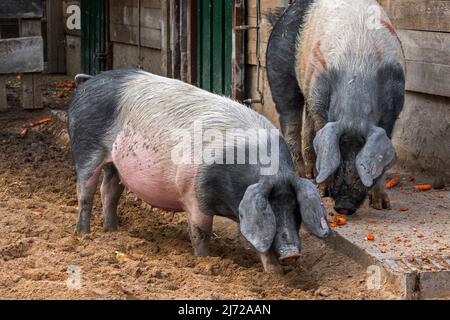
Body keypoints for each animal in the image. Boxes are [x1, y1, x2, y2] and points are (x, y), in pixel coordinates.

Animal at [67, 69, 330, 272]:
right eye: (271, 208)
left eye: (295, 209)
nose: (293, 253)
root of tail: (87, 81)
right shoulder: (193, 194)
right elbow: (201, 232)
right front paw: (205, 263)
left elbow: (260, 241)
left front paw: (275, 275)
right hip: (86, 149)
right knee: (85, 193)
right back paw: (84, 234)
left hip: (115, 165)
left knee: (109, 191)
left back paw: (112, 231)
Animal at [266, 0, 406, 215]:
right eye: (338, 157)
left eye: (364, 164)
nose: (344, 207)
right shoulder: (319, 90)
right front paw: (322, 191)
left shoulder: (393, 111)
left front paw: (382, 206)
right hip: (280, 73)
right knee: (291, 123)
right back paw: (302, 176)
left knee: (307, 128)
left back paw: (310, 175)